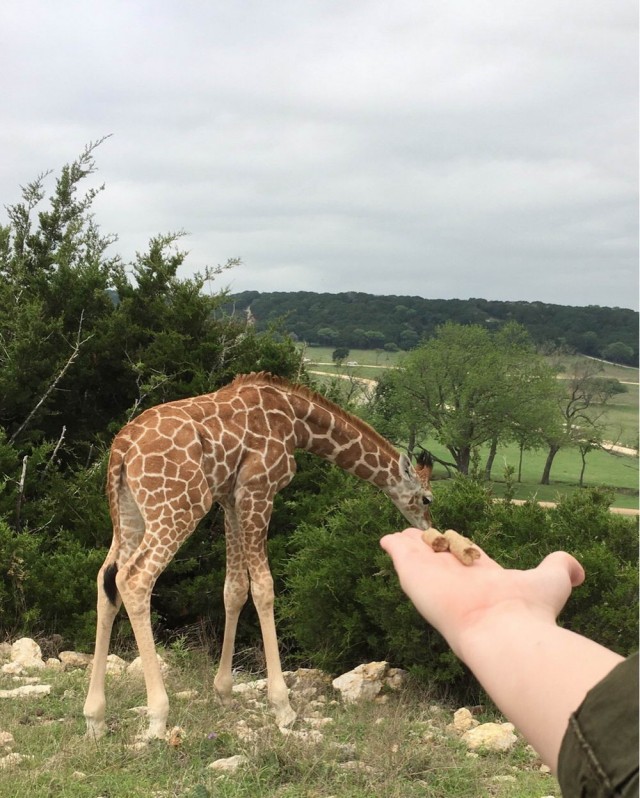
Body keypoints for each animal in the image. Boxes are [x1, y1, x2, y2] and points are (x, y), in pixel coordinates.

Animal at [85, 372, 442, 740]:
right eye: (427, 499)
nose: (428, 529)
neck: (298, 423)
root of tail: (122, 448)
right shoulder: (258, 489)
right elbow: (264, 588)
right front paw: (283, 708)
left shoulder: (229, 498)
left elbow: (234, 589)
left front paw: (224, 693)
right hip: (180, 507)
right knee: (135, 578)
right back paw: (157, 717)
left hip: (129, 513)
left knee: (106, 579)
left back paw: (95, 717)